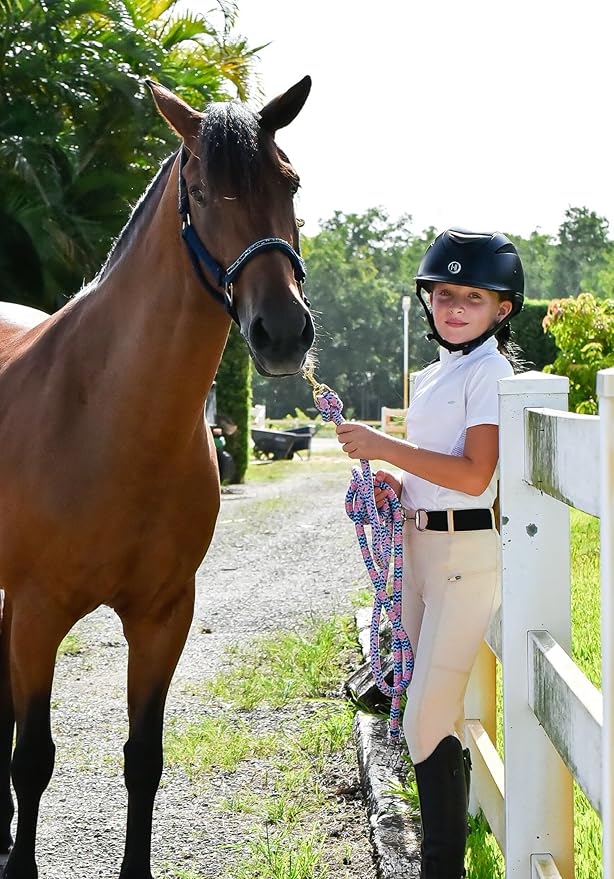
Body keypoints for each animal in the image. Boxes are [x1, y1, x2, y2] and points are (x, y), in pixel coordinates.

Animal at [0, 75, 314, 879]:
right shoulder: (42, 611)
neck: (108, 414)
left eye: (290, 181)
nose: (281, 331)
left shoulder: (163, 616)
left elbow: (144, 757)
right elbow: (34, 757)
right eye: (200, 189)